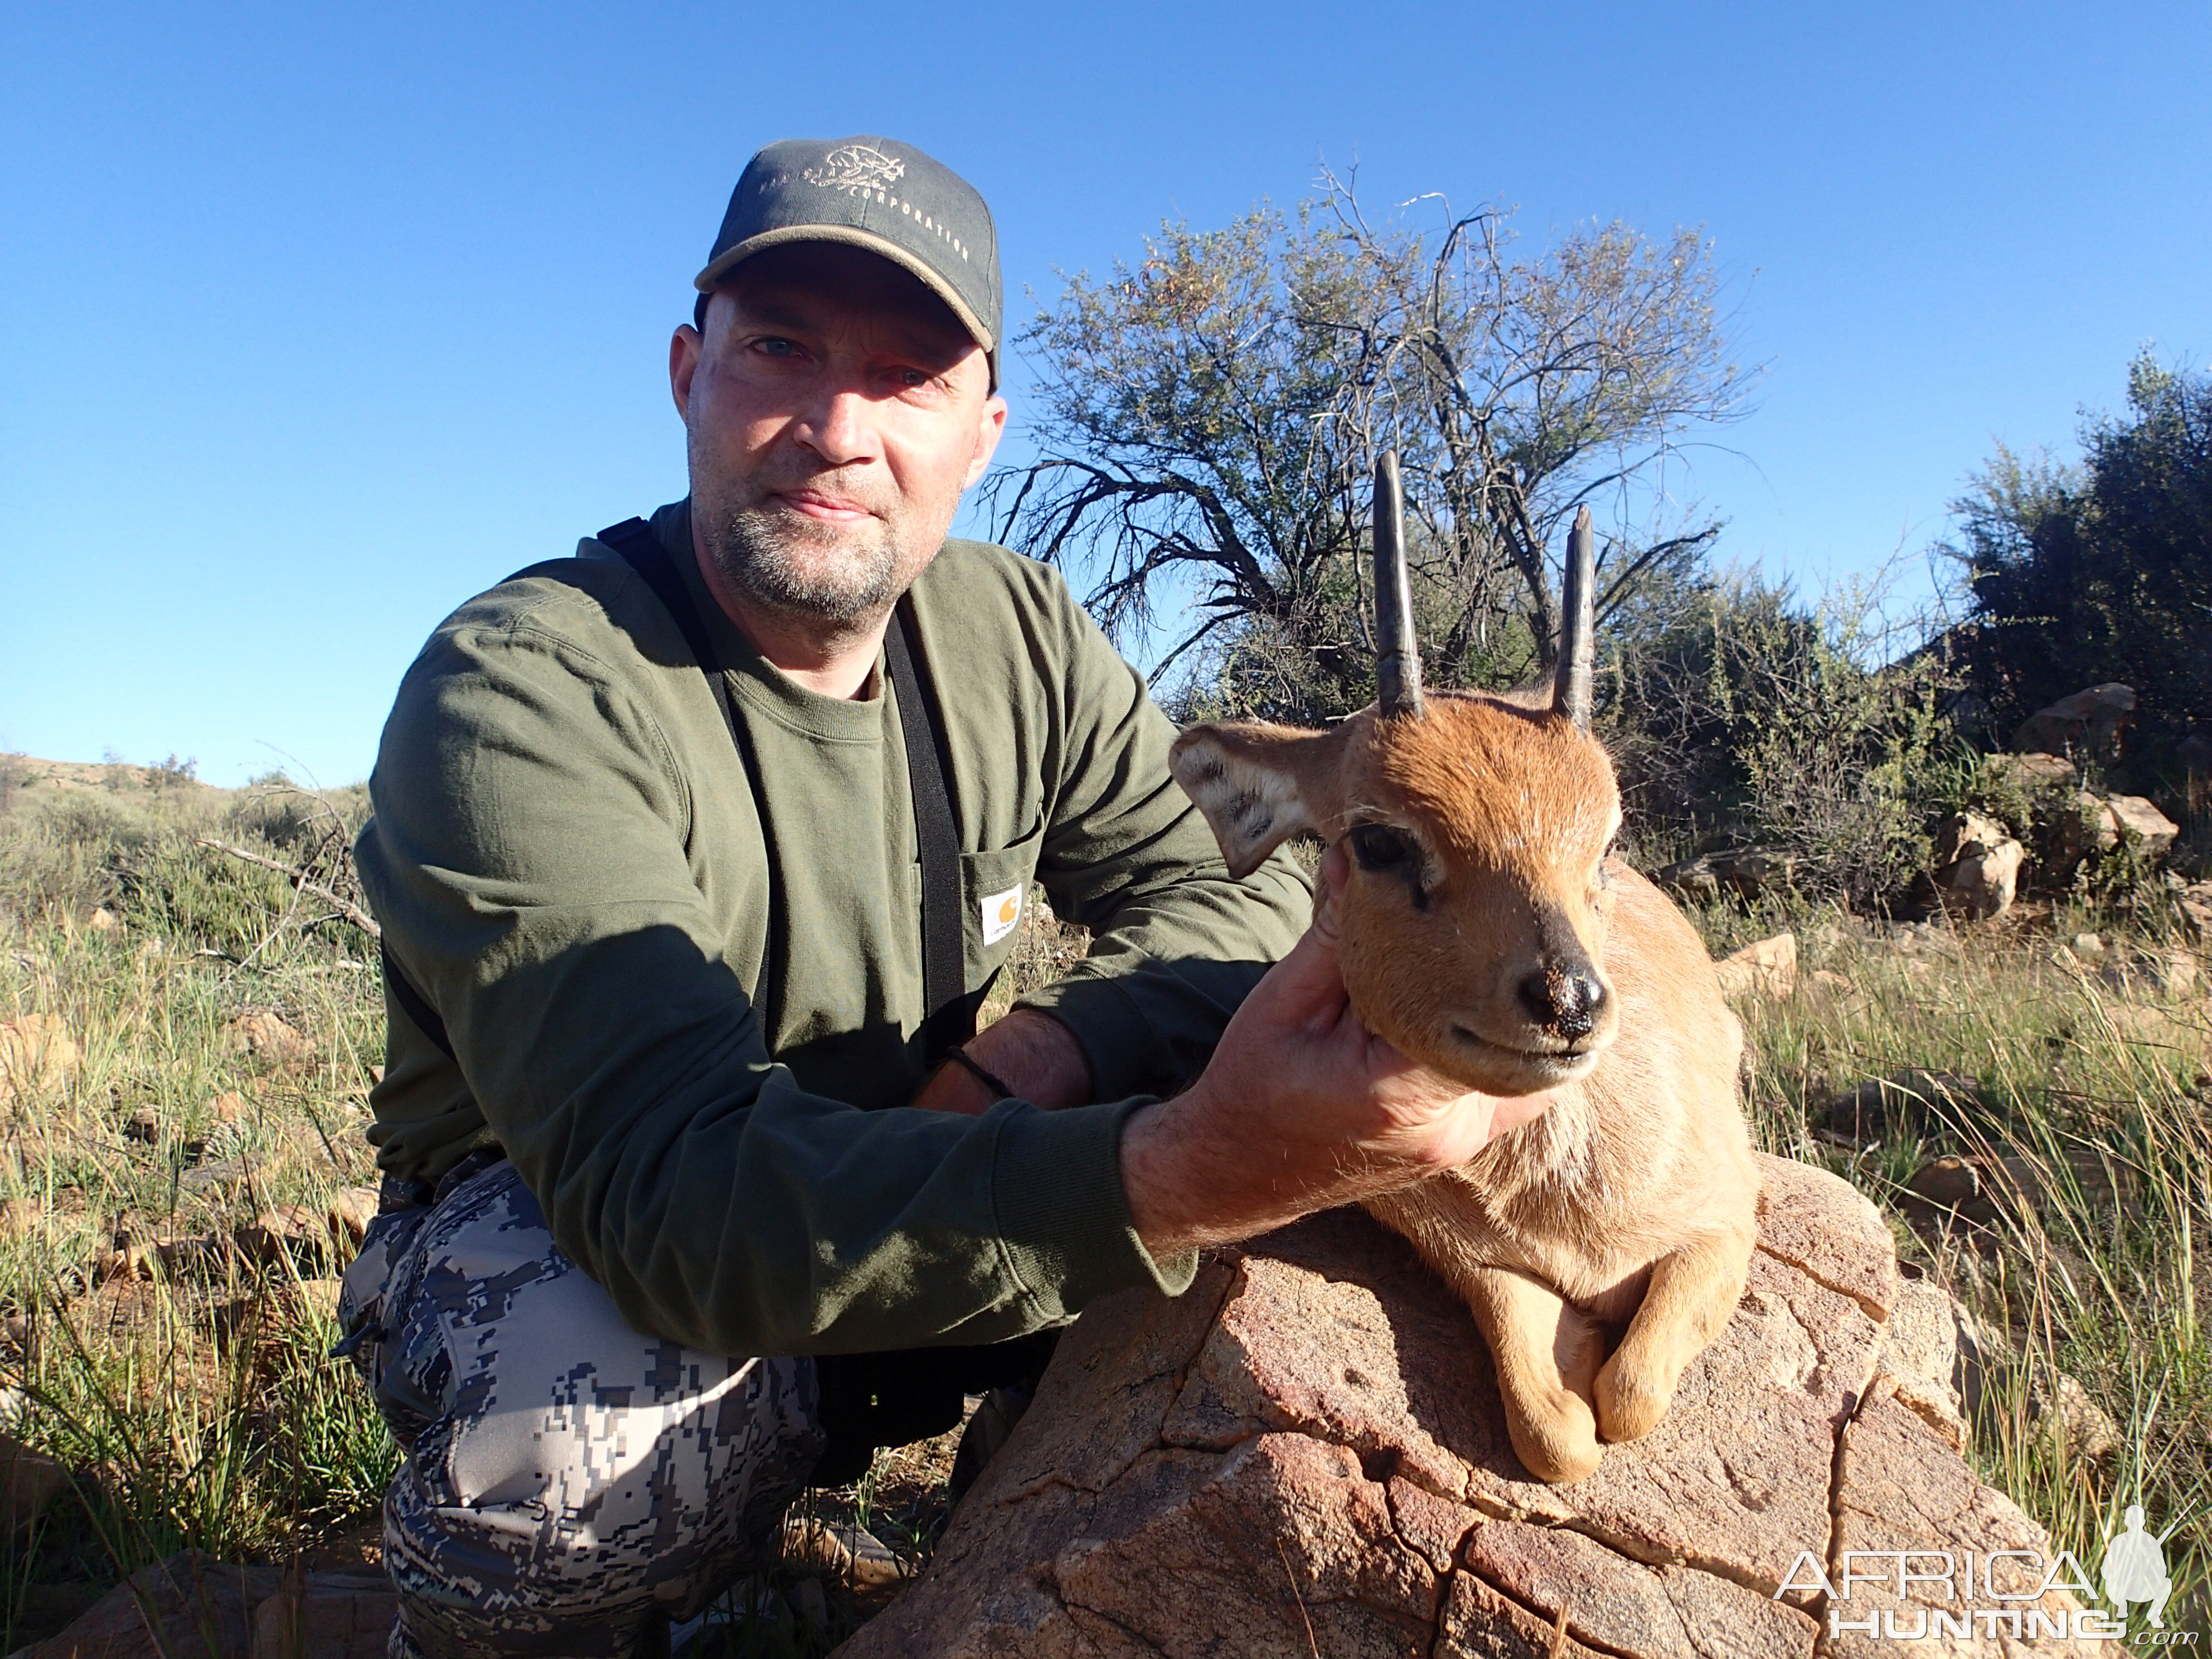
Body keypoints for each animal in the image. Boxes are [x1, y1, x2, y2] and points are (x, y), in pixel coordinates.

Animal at [1168, 451, 1752, 1477]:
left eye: (1607, 837)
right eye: (1379, 840)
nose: (1567, 1001)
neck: (1572, 1197)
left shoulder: (1727, 1221)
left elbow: (1632, 1392)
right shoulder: (1478, 1265)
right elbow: (1557, 1433)